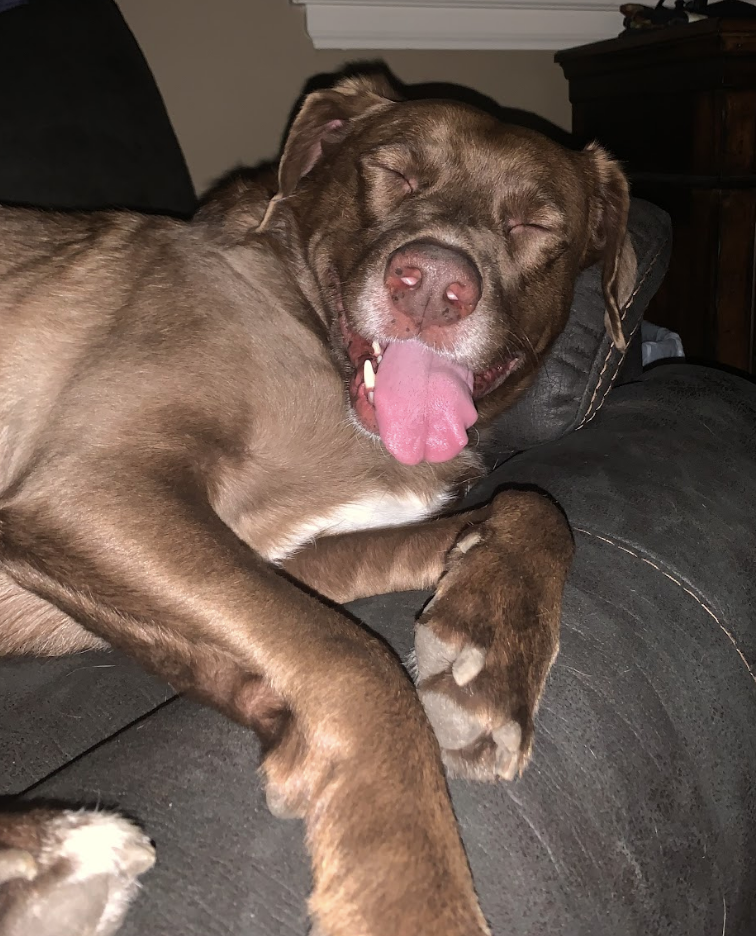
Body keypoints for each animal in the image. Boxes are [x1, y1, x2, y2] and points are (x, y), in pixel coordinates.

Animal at [0, 75, 636, 936]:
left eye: (534, 224)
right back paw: (48, 860)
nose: (432, 286)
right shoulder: (93, 485)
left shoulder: (286, 554)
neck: (309, 330)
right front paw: (407, 888)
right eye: (395, 171)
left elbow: (538, 514)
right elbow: (354, 659)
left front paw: (485, 659)